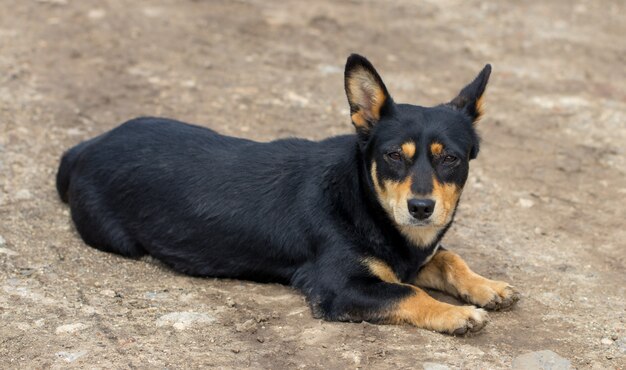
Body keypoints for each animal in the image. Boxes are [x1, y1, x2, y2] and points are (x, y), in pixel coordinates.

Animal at [57, 54, 516, 336]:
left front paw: (487, 286)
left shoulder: (408, 258)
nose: (421, 208)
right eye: (391, 156)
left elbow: (448, 259)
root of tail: (86, 147)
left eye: (450, 159)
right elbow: (410, 292)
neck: (364, 199)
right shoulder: (339, 286)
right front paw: (457, 313)